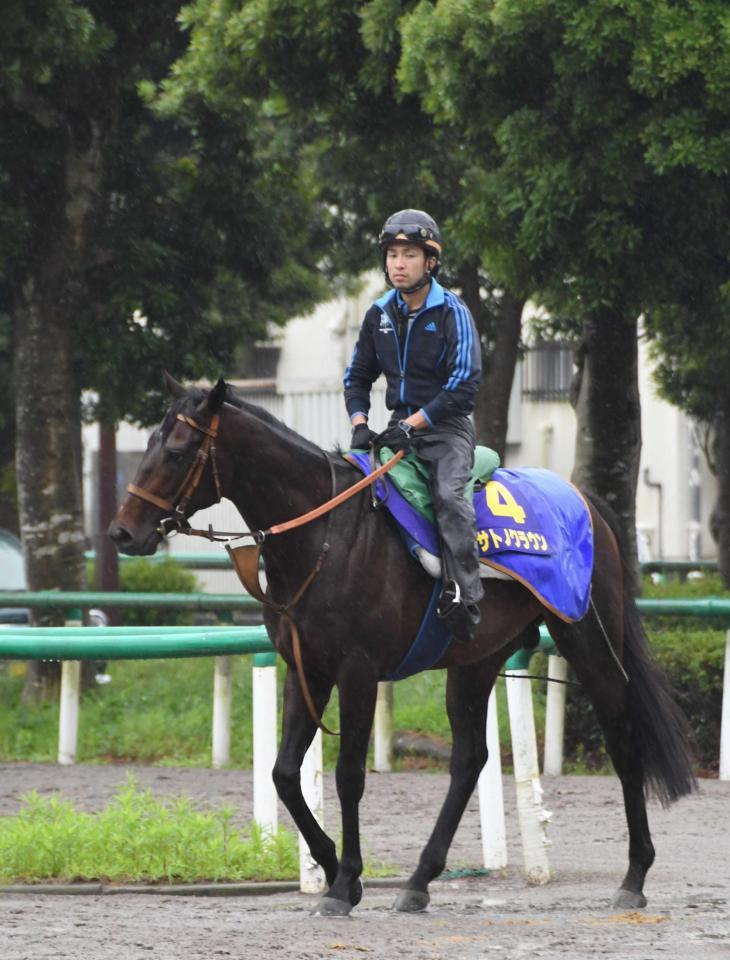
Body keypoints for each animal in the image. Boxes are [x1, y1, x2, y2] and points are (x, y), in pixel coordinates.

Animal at [109, 376, 692, 916]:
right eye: (148, 446)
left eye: (176, 451)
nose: (123, 533)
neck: (326, 532)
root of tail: (584, 499)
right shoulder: (306, 668)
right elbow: (284, 774)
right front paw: (334, 867)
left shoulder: (358, 671)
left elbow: (347, 776)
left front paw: (343, 882)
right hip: (476, 660)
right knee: (469, 759)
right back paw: (419, 880)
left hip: (587, 636)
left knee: (622, 737)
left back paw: (634, 875)